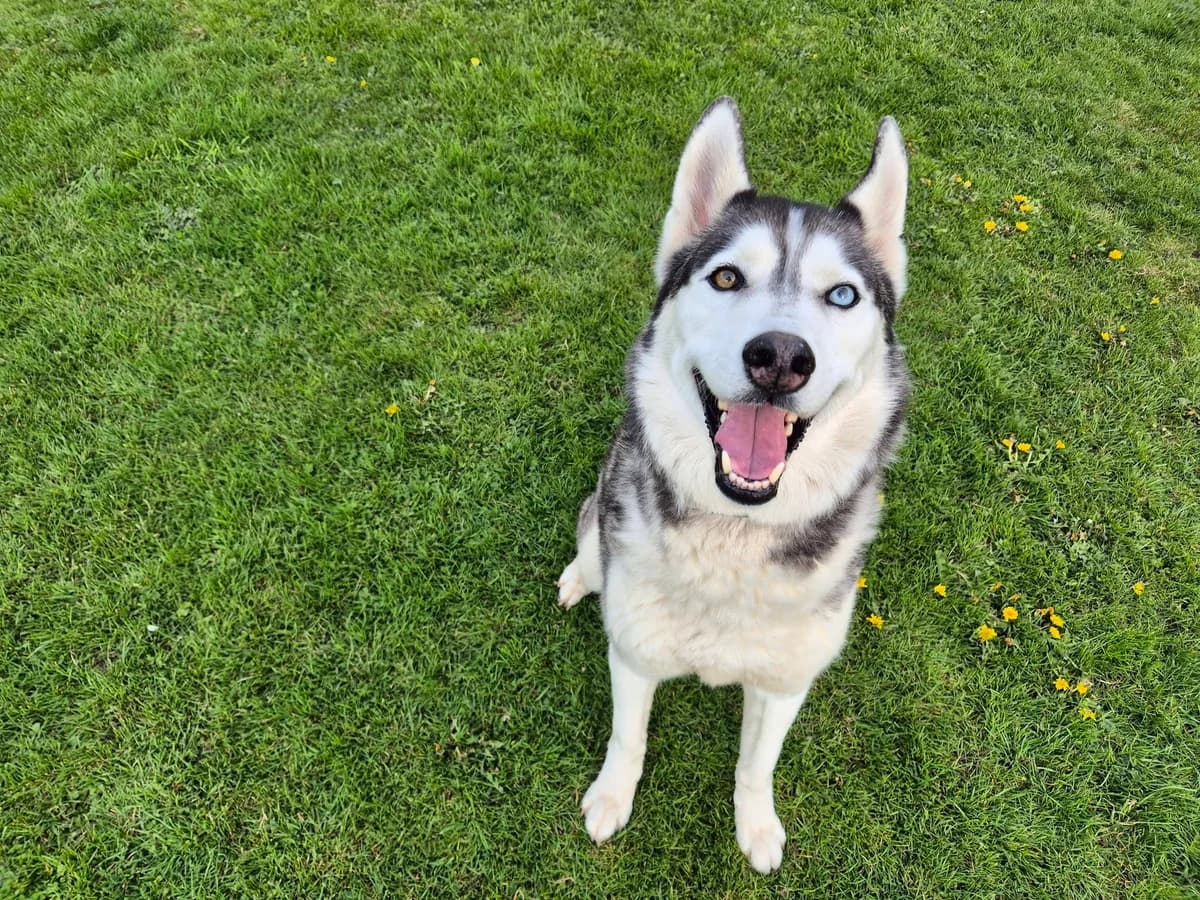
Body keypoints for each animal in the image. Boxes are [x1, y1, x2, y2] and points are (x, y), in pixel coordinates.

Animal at [556, 97, 911, 873]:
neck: (735, 533)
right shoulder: (634, 652)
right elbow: (629, 737)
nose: (780, 356)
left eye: (843, 294)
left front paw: (756, 826)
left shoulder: (785, 681)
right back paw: (576, 576)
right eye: (725, 279)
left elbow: (756, 764)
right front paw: (611, 799)